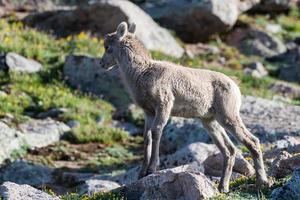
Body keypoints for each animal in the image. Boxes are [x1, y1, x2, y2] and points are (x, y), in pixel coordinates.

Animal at [99, 21, 270, 192]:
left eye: (107, 47)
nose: (102, 64)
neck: (141, 73)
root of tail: (235, 86)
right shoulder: (148, 112)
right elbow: (147, 136)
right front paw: (141, 173)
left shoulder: (164, 105)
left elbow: (156, 132)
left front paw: (152, 169)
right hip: (210, 121)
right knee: (230, 150)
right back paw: (223, 187)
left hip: (229, 117)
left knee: (253, 141)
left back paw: (262, 182)